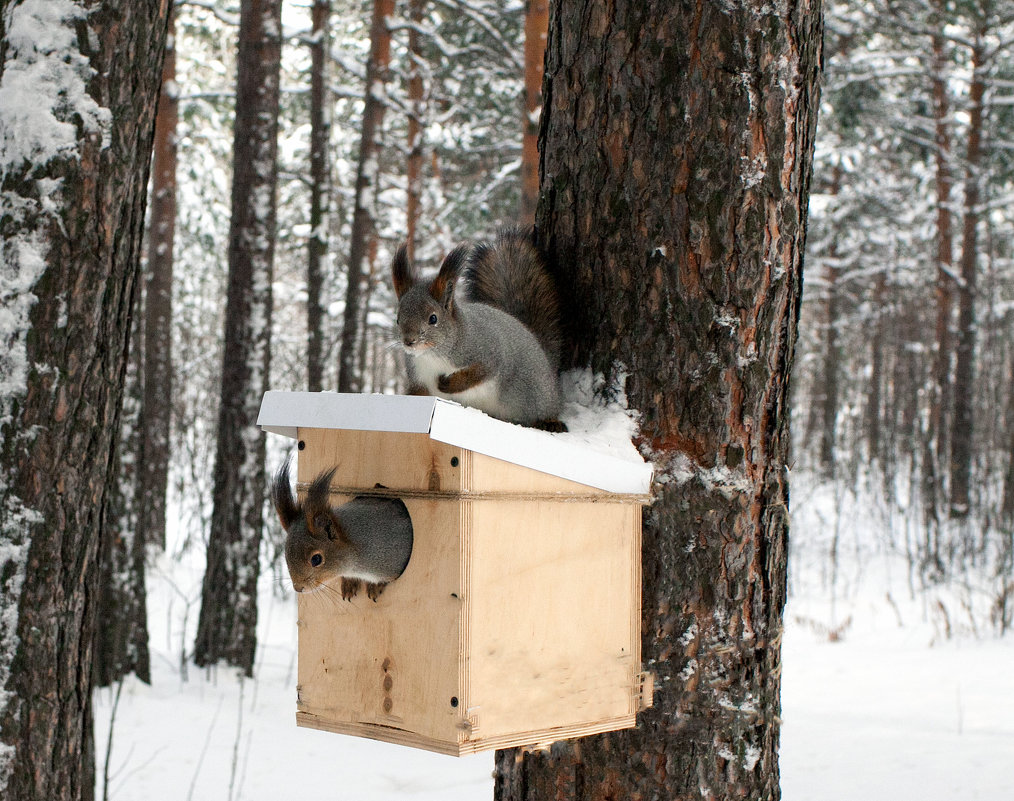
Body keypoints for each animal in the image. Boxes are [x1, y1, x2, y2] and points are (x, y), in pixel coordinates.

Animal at [389, 226, 567, 431]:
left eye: (433, 318)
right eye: (397, 319)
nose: (409, 341)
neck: (433, 355)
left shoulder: (488, 351)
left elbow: (481, 372)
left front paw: (450, 384)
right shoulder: (417, 376)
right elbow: (416, 393)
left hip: (532, 393)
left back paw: (550, 422)